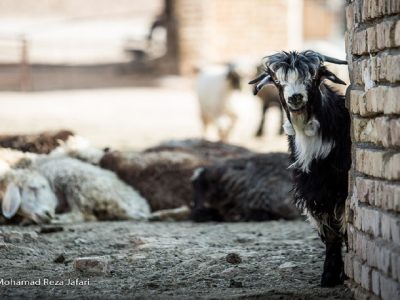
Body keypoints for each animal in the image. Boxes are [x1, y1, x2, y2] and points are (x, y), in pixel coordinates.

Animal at [250, 50, 350, 288]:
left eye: (313, 76)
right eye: (277, 80)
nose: (295, 97)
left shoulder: (340, 189)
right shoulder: (314, 191)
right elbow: (330, 233)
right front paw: (329, 276)